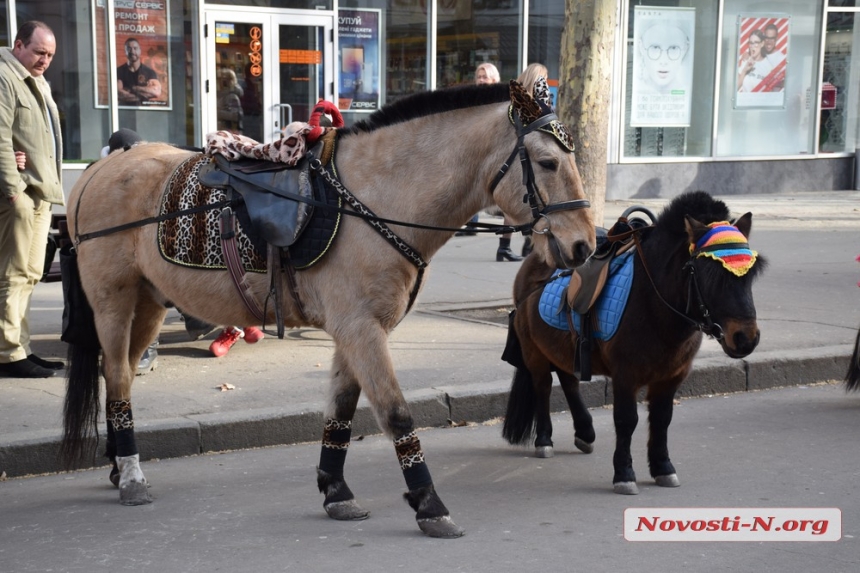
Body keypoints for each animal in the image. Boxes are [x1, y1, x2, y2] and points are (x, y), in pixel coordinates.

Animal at [60, 80, 596, 536]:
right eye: (548, 162)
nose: (584, 246)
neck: (372, 199)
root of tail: (98, 170)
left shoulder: (355, 330)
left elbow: (341, 409)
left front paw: (335, 490)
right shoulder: (361, 328)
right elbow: (395, 414)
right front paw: (429, 505)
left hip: (148, 302)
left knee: (118, 375)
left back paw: (118, 464)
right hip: (113, 300)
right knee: (119, 376)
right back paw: (131, 475)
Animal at [504, 191, 764, 492]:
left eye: (751, 273)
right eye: (709, 273)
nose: (746, 338)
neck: (654, 303)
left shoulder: (672, 376)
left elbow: (662, 418)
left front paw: (663, 467)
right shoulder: (625, 374)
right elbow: (626, 420)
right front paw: (624, 473)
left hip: (561, 347)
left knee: (569, 382)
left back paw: (585, 432)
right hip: (533, 350)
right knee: (544, 386)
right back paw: (544, 439)